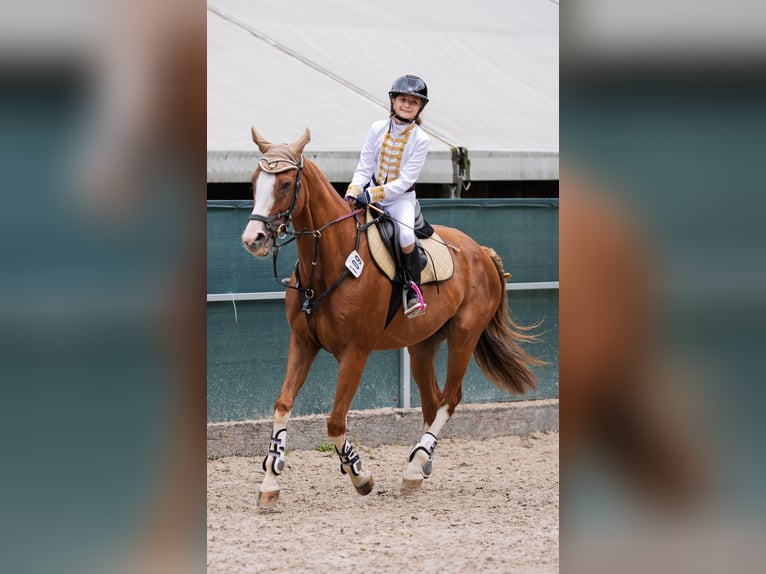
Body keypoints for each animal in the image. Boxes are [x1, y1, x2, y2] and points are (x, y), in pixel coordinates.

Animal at [241, 127, 541, 509]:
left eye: (284, 183)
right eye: (254, 182)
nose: (253, 239)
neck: (330, 261)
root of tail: (481, 253)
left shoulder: (355, 353)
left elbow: (335, 422)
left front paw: (360, 476)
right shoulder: (303, 343)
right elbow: (282, 406)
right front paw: (269, 483)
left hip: (464, 337)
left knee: (449, 400)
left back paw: (413, 469)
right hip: (422, 346)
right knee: (432, 402)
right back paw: (421, 463)